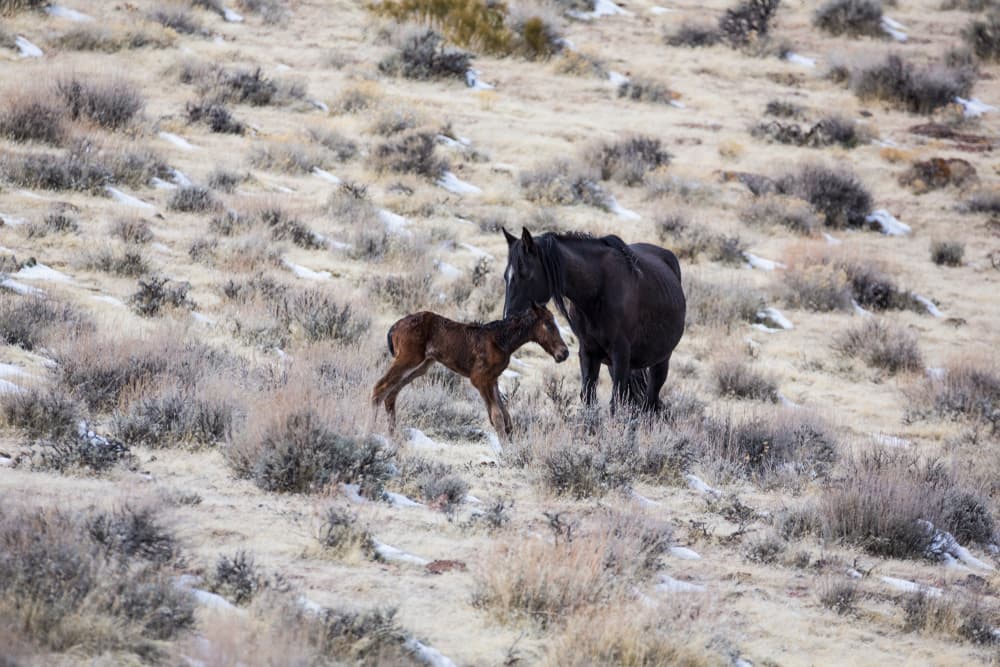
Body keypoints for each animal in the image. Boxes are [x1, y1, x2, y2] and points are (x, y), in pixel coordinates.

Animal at [370, 304, 572, 444]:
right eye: (548, 325)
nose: (564, 353)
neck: (503, 341)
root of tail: (393, 328)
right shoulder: (479, 379)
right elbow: (497, 417)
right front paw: (506, 452)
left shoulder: (492, 379)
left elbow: (506, 417)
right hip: (408, 358)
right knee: (379, 388)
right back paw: (371, 430)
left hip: (421, 365)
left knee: (391, 394)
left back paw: (393, 436)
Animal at [500, 230, 688, 412]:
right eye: (506, 276)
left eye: (525, 274)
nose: (510, 318)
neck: (597, 291)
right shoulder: (588, 352)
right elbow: (588, 398)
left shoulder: (621, 353)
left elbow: (615, 402)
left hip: (661, 361)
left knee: (650, 401)